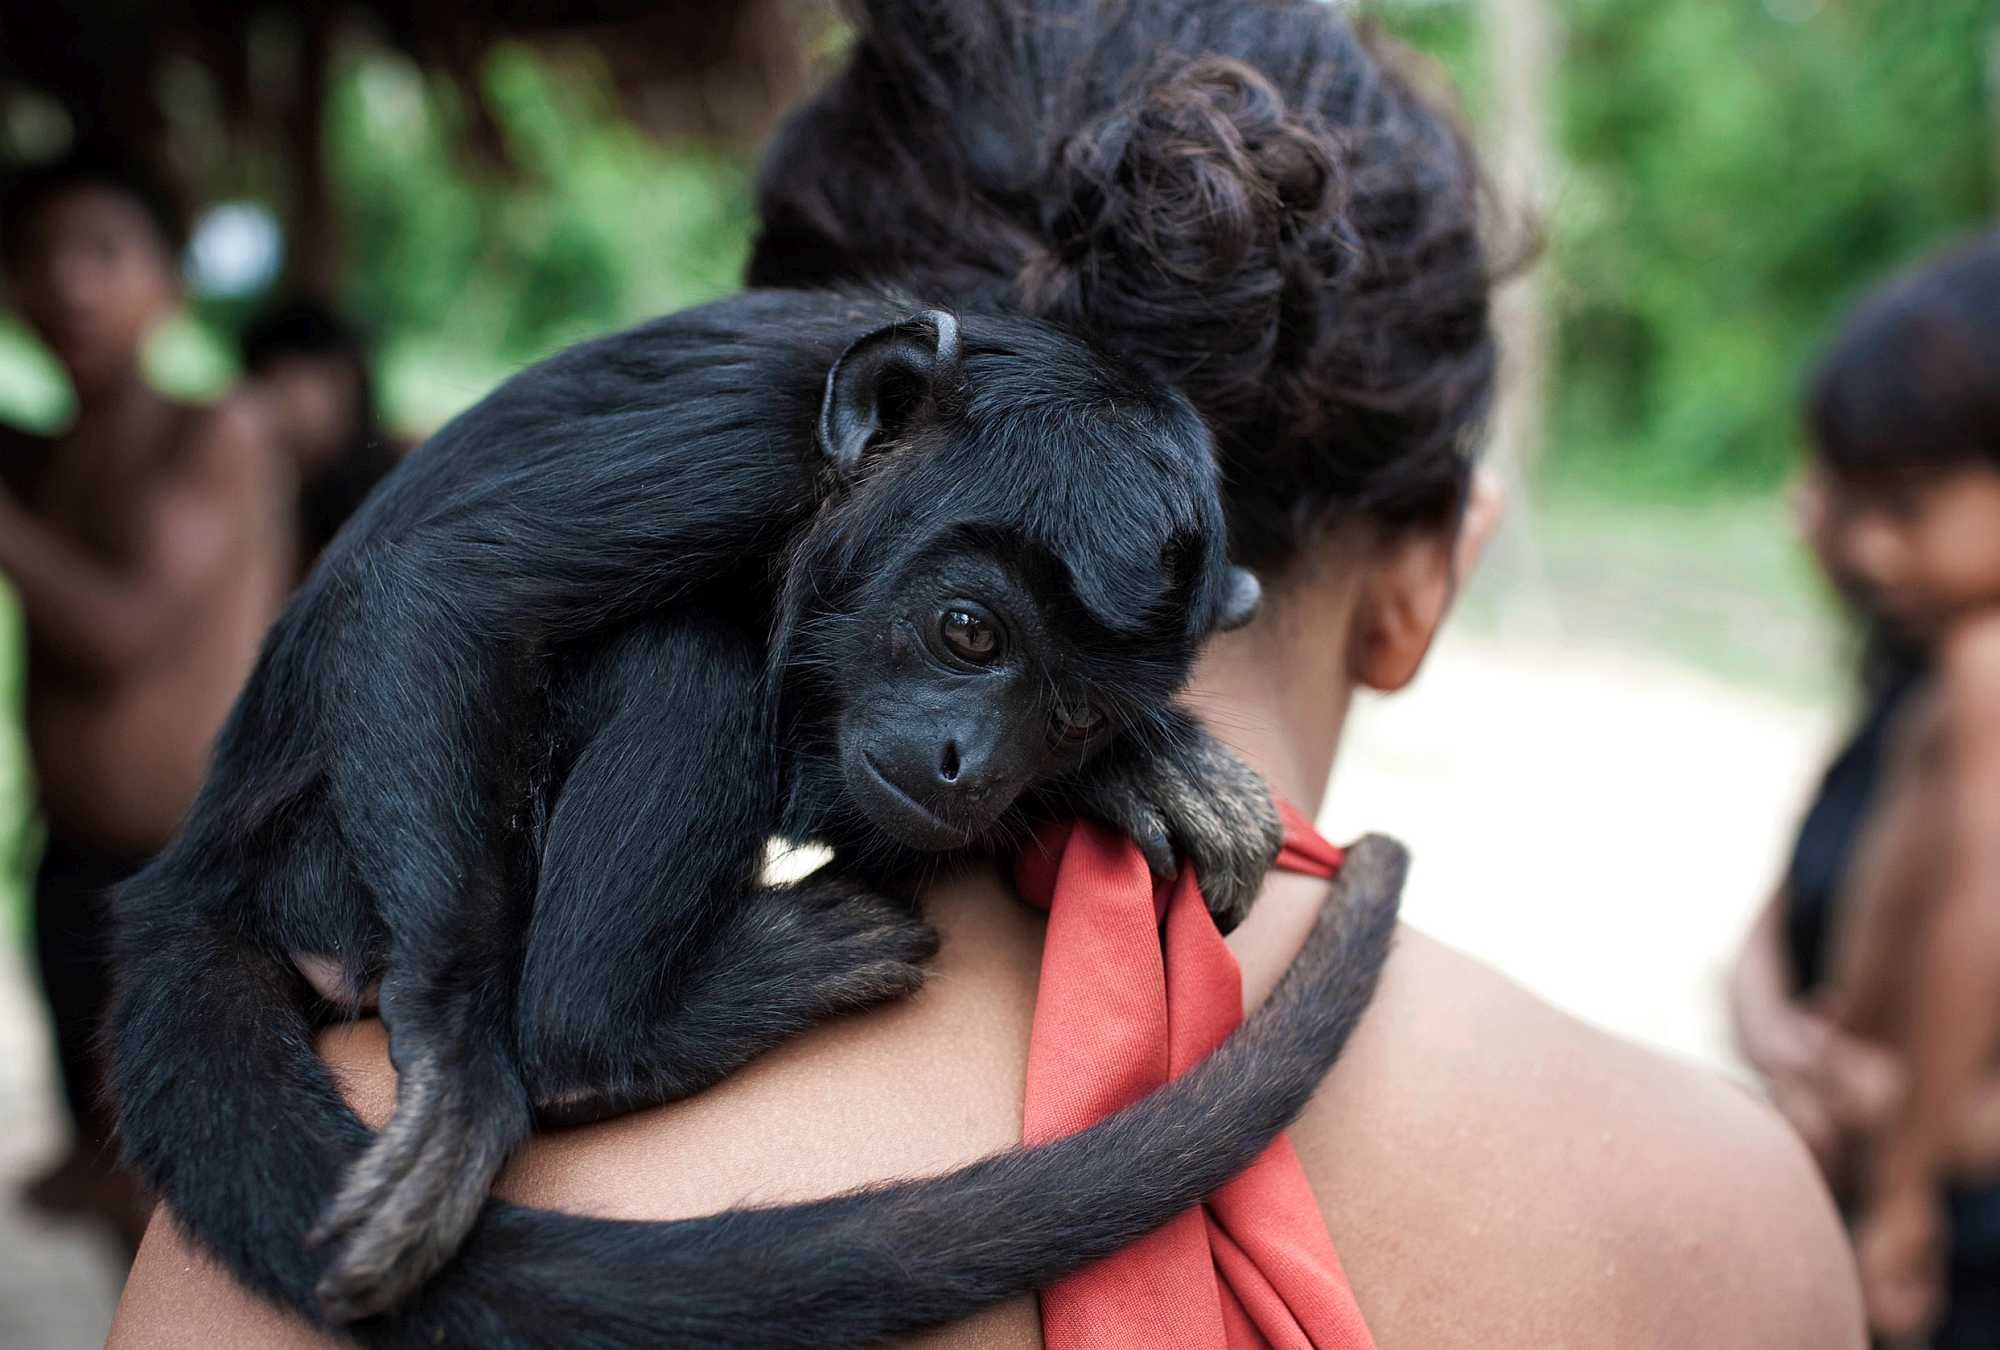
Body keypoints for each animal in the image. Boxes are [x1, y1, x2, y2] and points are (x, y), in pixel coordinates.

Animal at [109, 288, 1400, 1344]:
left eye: (1075, 717)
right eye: (967, 631)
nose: (970, 765)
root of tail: (199, 875)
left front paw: (1145, 765)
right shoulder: (732, 444)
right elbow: (451, 589)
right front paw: (462, 1075)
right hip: (330, 867)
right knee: (699, 660)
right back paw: (627, 1026)